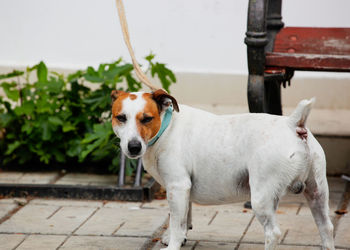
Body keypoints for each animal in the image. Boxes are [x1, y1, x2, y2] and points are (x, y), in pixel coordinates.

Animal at [110, 90, 334, 250]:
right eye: (121, 117)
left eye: (147, 118)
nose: (133, 147)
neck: (166, 128)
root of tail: (292, 124)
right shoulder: (184, 189)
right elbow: (184, 219)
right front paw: (178, 237)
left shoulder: (177, 186)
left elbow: (176, 223)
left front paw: (173, 244)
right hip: (317, 192)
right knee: (326, 227)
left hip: (261, 198)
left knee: (273, 234)